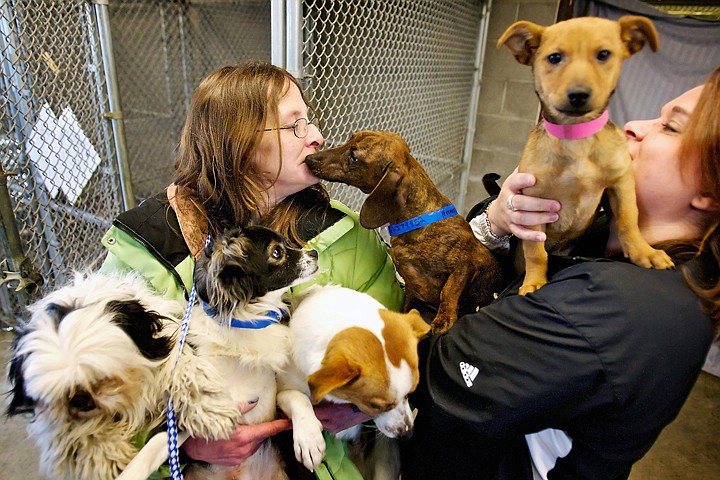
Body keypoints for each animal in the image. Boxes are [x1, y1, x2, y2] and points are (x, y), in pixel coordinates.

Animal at [4, 225, 316, 480]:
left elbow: (297, 397)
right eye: (277, 252)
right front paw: (130, 473)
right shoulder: (192, 413)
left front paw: (310, 439)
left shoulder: (270, 399)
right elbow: (155, 444)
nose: (313, 252)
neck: (245, 324)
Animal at [498, 16, 672, 294]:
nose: (578, 95)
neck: (576, 139)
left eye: (604, 54)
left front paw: (644, 252)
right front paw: (534, 281)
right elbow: (536, 252)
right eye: (554, 58)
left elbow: (628, 220)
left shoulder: (621, 183)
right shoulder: (532, 201)